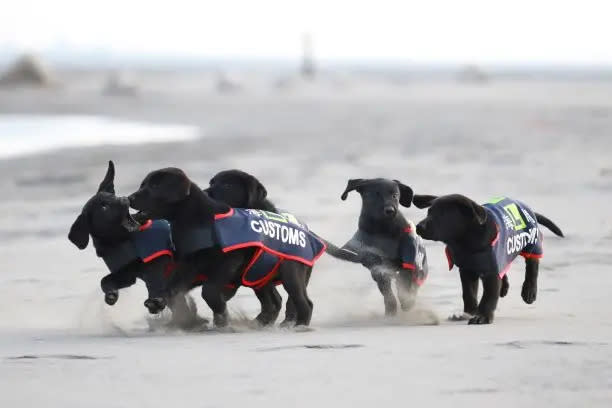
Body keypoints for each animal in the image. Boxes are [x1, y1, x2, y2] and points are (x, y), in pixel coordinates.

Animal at [328, 178, 428, 316]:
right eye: (376, 194)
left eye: (395, 195)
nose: (390, 210)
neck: (384, 229)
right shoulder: (376, 266)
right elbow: (387, 290)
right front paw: (394, 305)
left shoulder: (410, 255)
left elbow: (408, 273)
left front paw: (407, 300)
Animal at [416, 194, 564, 326]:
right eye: (429, 212)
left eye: (443, 214)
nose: (418, 227)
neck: (464, 242)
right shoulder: (467, 270)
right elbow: (469, 294)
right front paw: (469, 313)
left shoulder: (490, 271)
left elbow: (488, 296)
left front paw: (482, 317)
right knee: (504, 268)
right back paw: (504, 287)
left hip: (532, 242)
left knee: (532, 265)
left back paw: (529, 291)